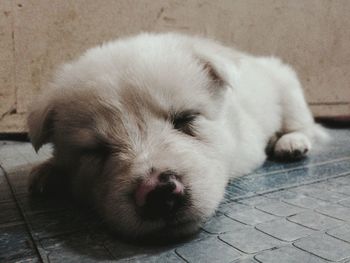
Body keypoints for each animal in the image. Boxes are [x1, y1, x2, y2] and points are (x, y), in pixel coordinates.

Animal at [28, 32, 328, 240]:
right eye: (95, 150)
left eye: (186, 118)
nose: (159, 194)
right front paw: (50, 170)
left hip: (288, 90)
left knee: (302, 124)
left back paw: (291, 142)